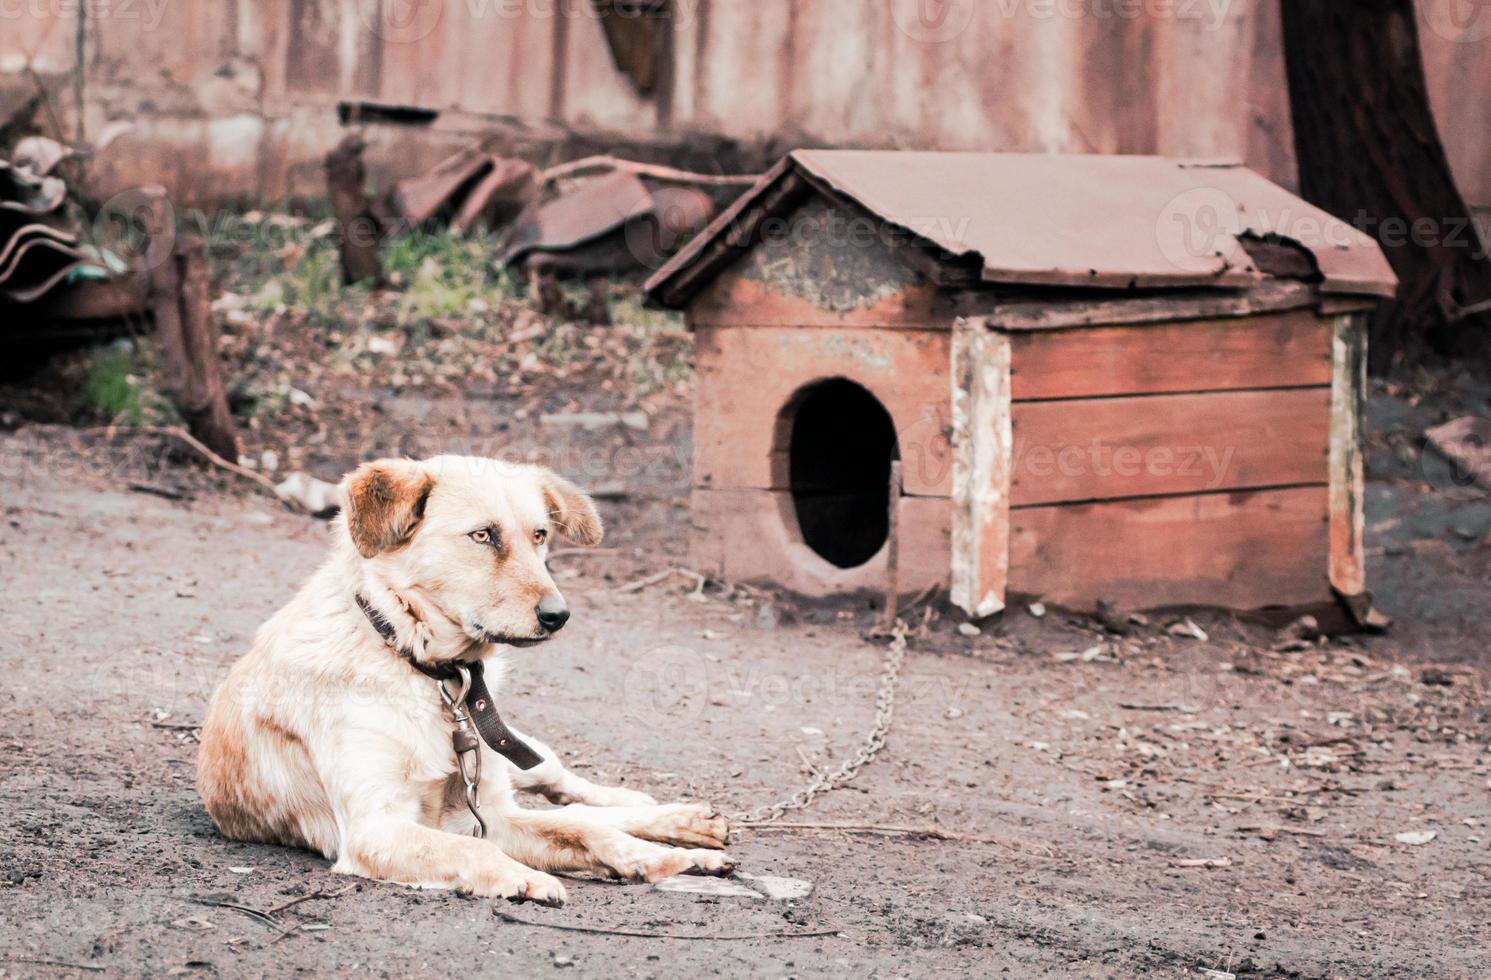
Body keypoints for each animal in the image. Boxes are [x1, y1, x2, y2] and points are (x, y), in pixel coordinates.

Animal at [198, 453, 733, 906]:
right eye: (483, 536)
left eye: (540, 535)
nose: (559, 616)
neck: (432, 673)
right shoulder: (381, 828)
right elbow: (489, 847)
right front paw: (529, 877)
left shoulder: (483, 809)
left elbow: (585, 830)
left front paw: (658, 857)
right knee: (571, 809)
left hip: (515, 752)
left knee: (573, 794)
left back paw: (682, 825)